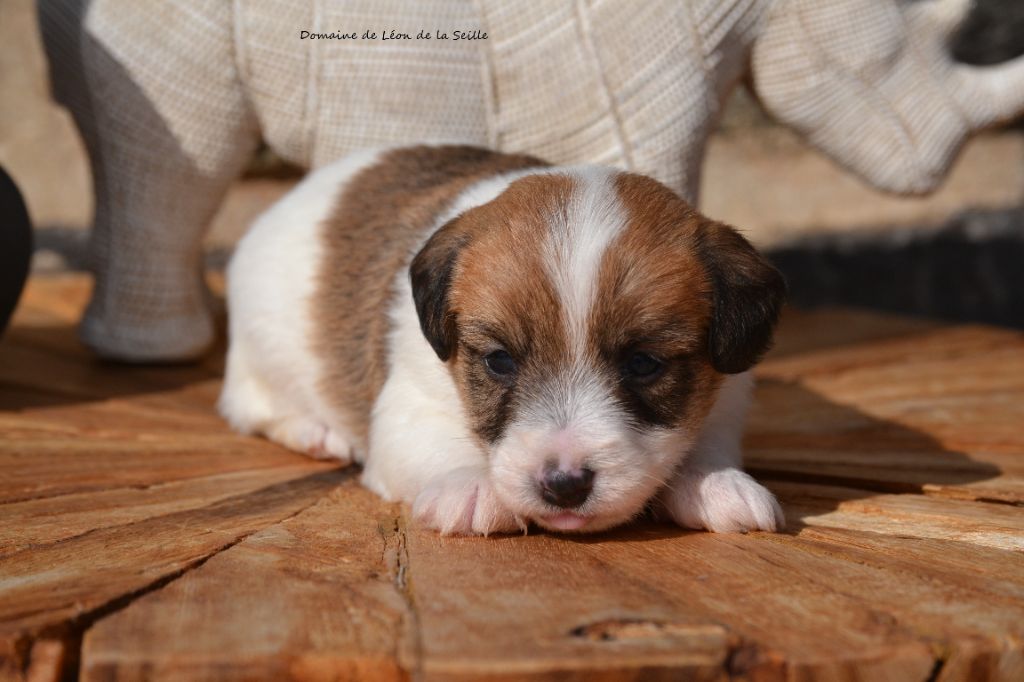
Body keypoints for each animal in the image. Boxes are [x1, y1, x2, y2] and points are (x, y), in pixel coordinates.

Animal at [222, 144, 782, 536]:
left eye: (644, 363)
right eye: (498, 361)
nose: (564, 486)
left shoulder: (727, 401)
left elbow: (702, 442)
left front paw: (712, 481)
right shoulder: (406, 411)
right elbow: (436, 443)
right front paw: (473, 484)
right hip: (263, 353)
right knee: (252, 408)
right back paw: (315, 432)